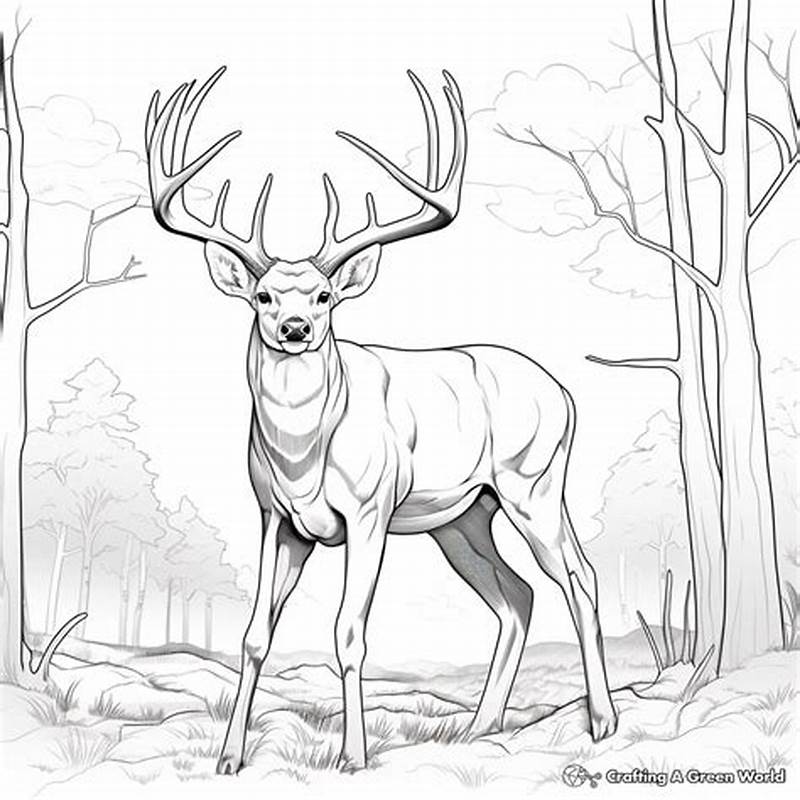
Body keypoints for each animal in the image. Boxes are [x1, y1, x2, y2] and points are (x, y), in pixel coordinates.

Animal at [145, 67, 618, 775]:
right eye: (262, 295)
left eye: (324, 296)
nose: (294, 328)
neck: (303, 456)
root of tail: (564, 392)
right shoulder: (276, 518)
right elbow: (256, 635)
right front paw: (229, 758)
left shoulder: (368, 511)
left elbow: (349, 632)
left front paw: (354, 756)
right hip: (462, 518)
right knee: (517, 595)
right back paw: (481, 727)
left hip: (533, 483)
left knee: (580, 582)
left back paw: (602, 722)